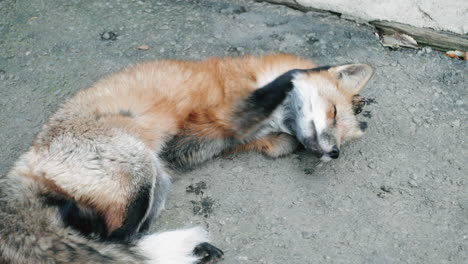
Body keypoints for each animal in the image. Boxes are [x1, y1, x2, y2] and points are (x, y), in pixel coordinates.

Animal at [0, 52, 372, 262]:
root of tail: (26, 165)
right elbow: (290, 76)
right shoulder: (224, 116)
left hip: (157, 181)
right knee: (114, 238)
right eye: (333, 112)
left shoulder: (205, 141)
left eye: (344, 137)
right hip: (140, 170)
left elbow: (277, 140)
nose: (335, 153)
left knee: (117, 237)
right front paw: (306, 72)